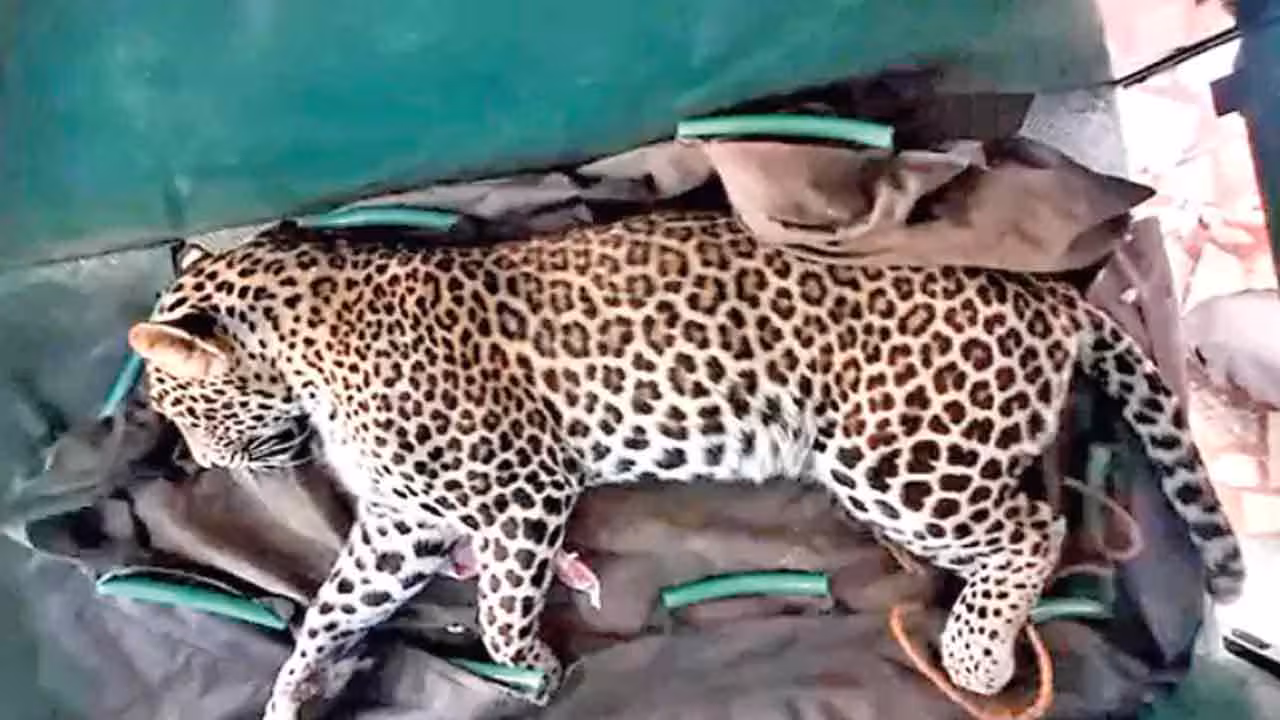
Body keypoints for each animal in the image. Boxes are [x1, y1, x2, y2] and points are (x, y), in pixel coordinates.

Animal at [127, 210, 1244, 719]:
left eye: (176, 405)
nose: (202, 461)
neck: (308, 339)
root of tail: (1050, 294)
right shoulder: (404, 525)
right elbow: (332, 605)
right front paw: (292, 692)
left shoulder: (521, 489)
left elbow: (498, 609)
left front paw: (535, 669)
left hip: (890, 456)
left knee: (1033, 528)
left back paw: (976, 656)